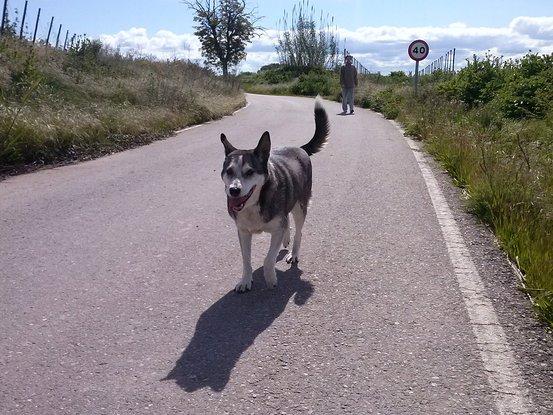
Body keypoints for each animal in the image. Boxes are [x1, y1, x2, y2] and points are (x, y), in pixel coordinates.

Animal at [220, 97, 330, 292]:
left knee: (298, 230)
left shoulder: (276, 229)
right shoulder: (243, 232)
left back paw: (294, 253)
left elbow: (268, 258)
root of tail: (300, 148)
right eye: (229, 171)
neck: (255, 202)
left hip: (300, 207)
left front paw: (270, 277)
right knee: (288, 224)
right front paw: (245, 280)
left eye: (250, 172)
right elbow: (246, 259)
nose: (234, 190)